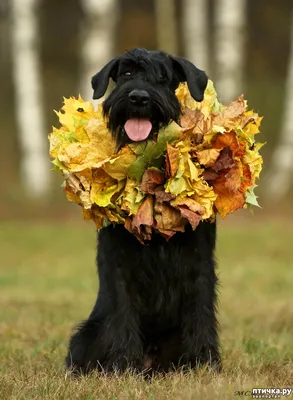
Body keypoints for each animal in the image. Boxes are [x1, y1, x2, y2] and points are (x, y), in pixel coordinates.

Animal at [66, 48, 220, 374]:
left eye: (162, 76)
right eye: (126, 74)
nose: (138, 97)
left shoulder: (199, 259)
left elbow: (201, 311)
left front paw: (205, 364)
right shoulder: (117, 260)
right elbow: (122, 312)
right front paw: (124, 366)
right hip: (86, 335)